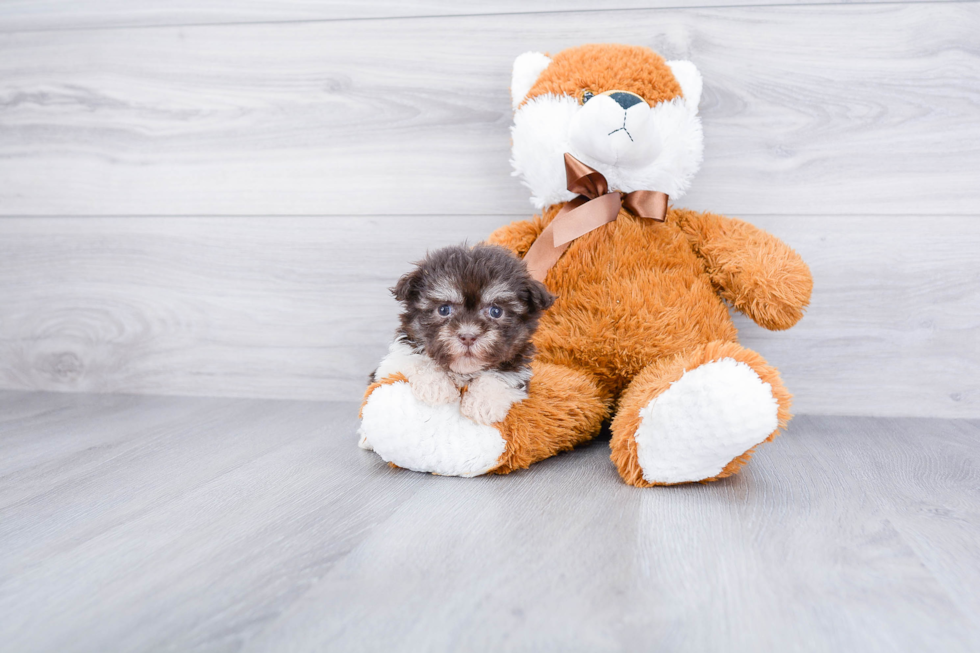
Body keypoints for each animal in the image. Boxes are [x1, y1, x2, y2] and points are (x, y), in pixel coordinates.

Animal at [370, 242, 552, 426]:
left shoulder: (517, 366)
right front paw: (435, 386)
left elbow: (502, 376)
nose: (468, 337)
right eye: (444, 309)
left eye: (496, 311)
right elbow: (417, 359)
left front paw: (483, 403)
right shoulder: (390, 365)